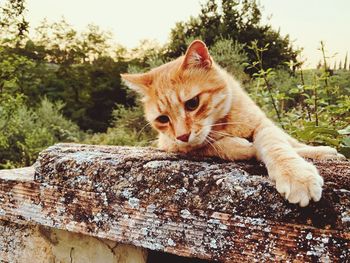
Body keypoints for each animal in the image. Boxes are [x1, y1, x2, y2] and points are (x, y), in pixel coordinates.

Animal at [120, 40, 344, 207]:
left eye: (192, 103)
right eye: (163, 119)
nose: (182, 135)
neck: (223, 123)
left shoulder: (262, 125)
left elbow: (277, 145)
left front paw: (296, 175)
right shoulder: (169, 143)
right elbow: (208, 146)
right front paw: (244, 148)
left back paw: (324, 152)